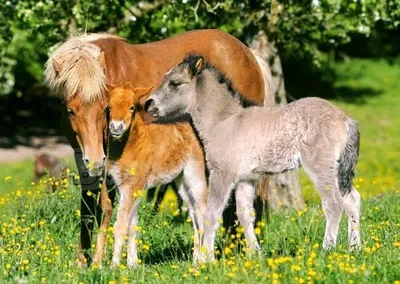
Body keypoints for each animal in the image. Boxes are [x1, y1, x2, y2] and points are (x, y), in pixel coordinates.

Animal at [45, 29, 274, 266]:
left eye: (104, 108)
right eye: (70, 110)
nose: (96, 160)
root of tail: (250, 55)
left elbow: (108, 208)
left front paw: (100, 261)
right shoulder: (83, 158)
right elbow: (89, 208)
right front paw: (83, 261)